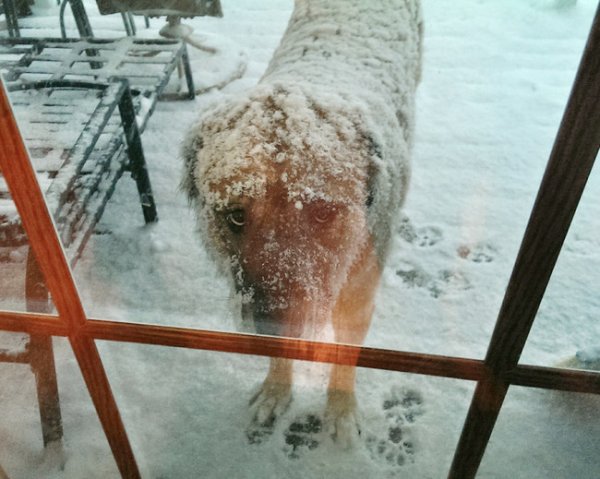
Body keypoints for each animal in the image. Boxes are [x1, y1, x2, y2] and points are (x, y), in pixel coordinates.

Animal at [182, 0, 422, 446]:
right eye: (235, 215)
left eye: (323, 213)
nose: (271, 323)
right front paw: (276, 390)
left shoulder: (358, 295)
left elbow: (345, 359)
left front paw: (341, 411)